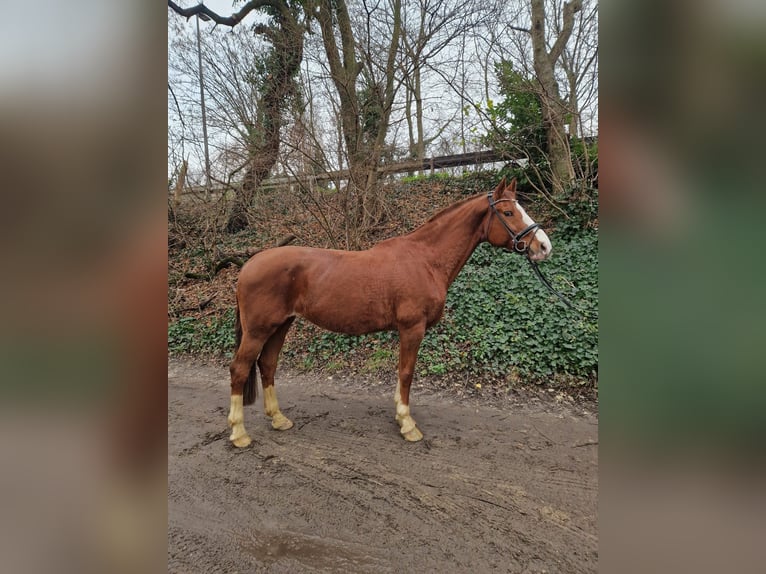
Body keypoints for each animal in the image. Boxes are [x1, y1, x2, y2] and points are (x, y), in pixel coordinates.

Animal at [228, 178, 552, 448]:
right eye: (508, 212)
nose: (544, 246)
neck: (425, 260)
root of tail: (248, 265)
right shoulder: (412, 328)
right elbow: (407, 372)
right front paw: (408, 425)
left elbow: (401, 373)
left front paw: (400, 414)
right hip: (258, 330)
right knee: (240, 369)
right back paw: (239, 433)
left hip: (280, 325)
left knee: (267, 365)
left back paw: (278, 419)